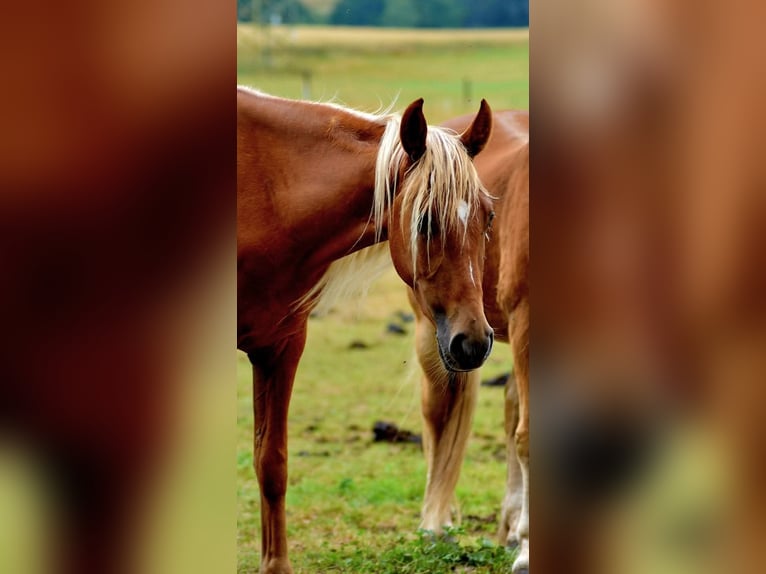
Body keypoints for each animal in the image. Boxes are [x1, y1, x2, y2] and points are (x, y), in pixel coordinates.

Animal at [237, 87, 496, 574]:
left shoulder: (280, 344)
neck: (266, 192)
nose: (472, 342)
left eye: (489, 217)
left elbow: (272, 462)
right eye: (425, 220)